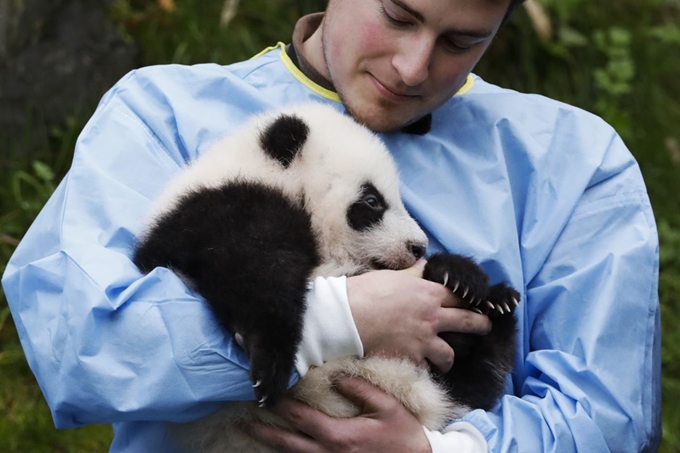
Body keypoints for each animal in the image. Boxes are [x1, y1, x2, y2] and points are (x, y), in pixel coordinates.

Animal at [131, 100, 516, 450]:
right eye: (372, 201)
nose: (418, 247)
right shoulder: (217, 210)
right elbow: (253, 271)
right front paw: (270, 363)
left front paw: (462, 276)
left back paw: (493, 300)